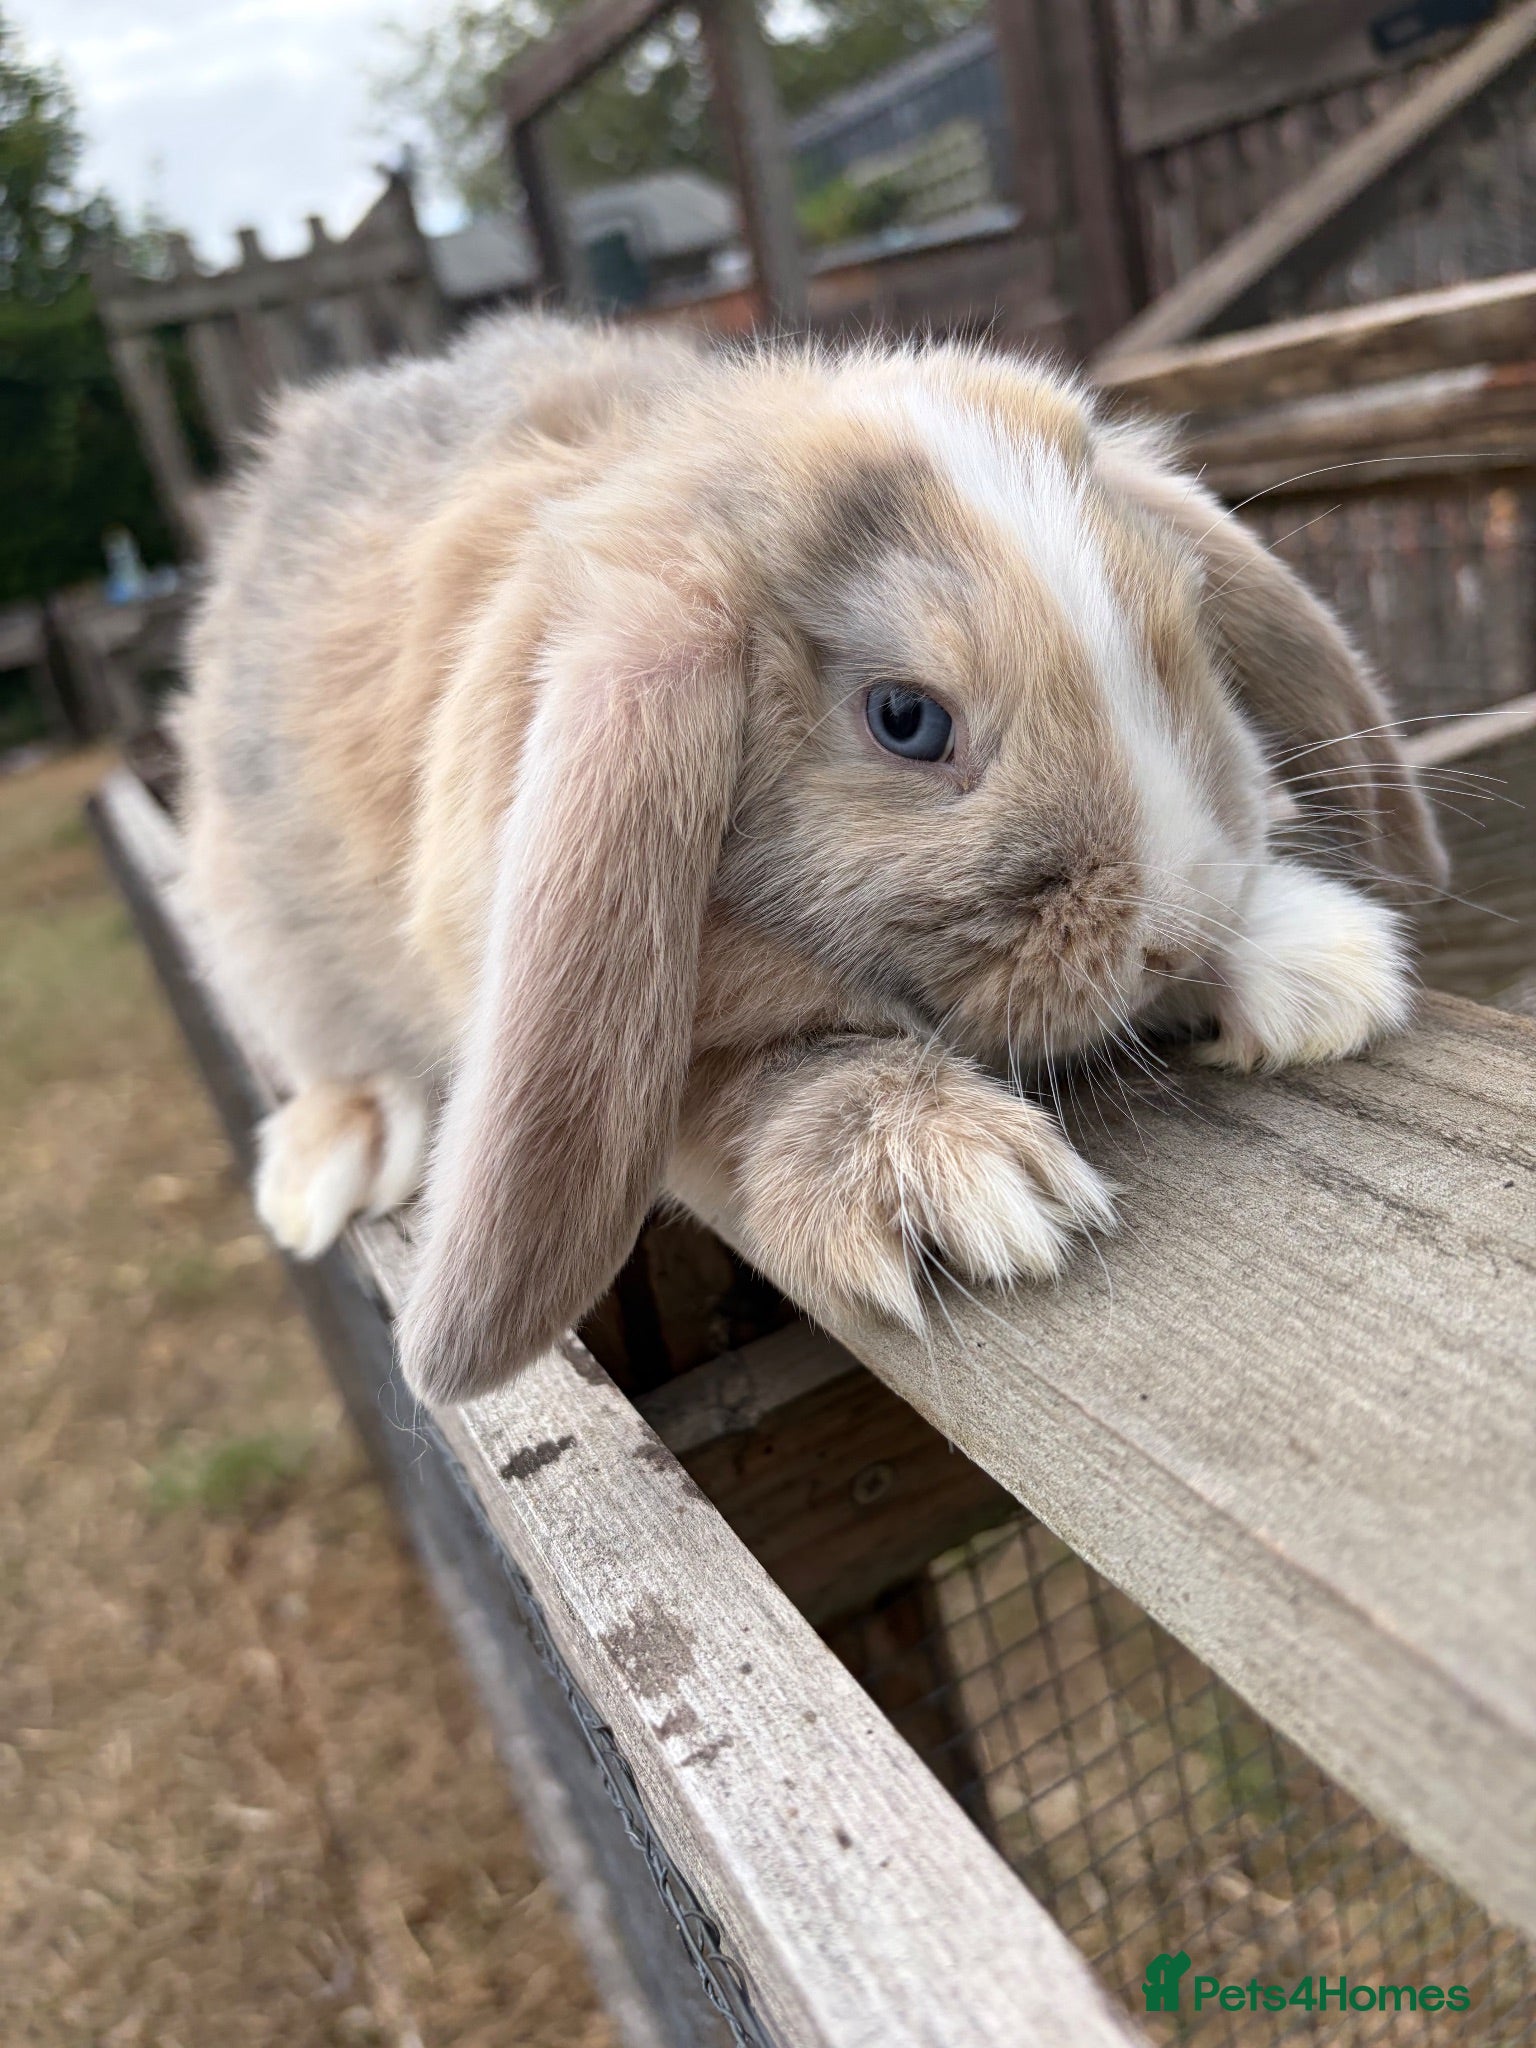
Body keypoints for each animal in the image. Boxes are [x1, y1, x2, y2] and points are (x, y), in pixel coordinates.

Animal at [176, 309, 1446, 1406]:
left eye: (1182, 630)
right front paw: (943, 1176)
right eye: (905, 718)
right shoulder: (646, 1052)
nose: (1175, 931)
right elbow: (759, 1083)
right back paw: (336, 1156)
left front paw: (1314, 963)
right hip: (263, 939)